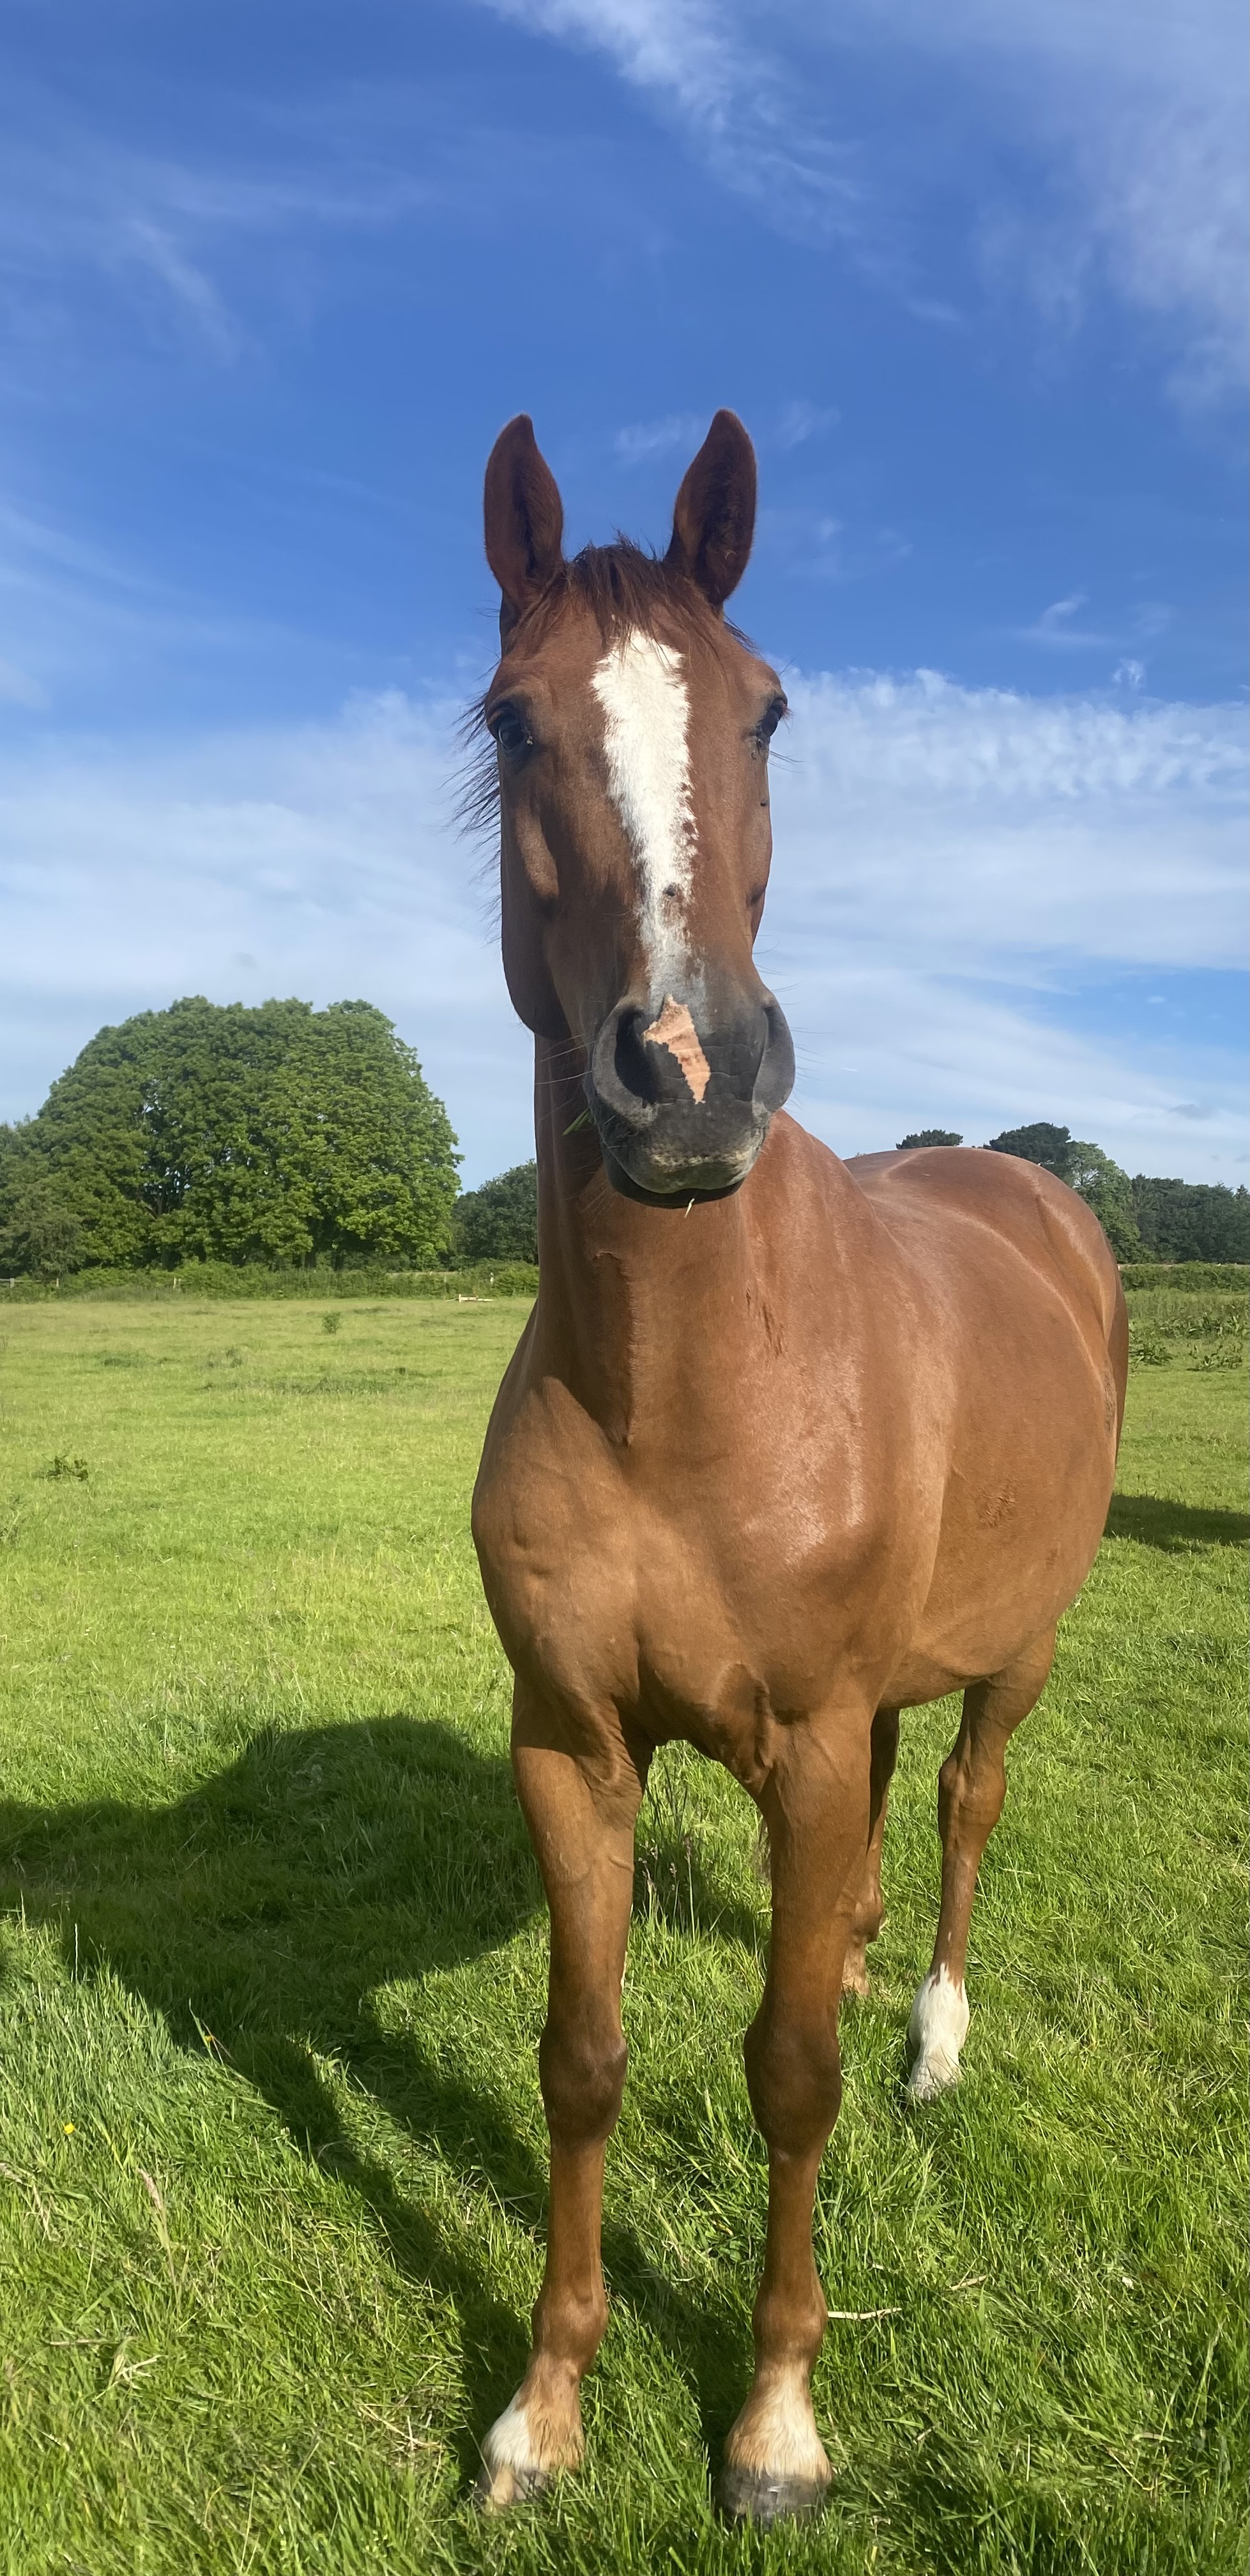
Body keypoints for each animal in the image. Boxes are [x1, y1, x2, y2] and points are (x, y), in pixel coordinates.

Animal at [468, 409, 1127, 2525]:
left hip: (1009, 1657)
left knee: (965, 1810)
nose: (687, 1080)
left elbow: (780, 2080)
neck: (682, 1391)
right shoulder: (571, 1742)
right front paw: (542, 2409)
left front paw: (770, 2420)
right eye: (512, 718)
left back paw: (925, 2037)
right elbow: (582, 2056)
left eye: (762, 711)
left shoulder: (812, 1740)